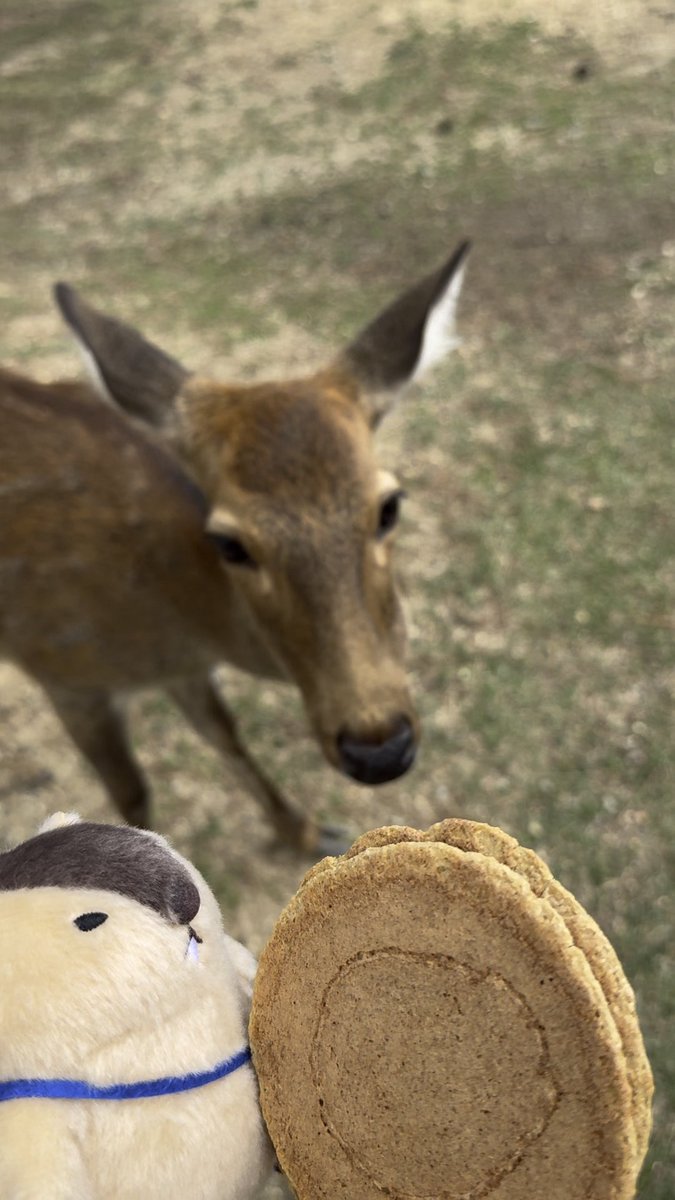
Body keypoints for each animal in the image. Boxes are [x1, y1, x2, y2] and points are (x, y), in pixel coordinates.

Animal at [0, 240, 469, 855]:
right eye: (229, 542)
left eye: (389, 506)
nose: (379, 748)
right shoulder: (63, 671)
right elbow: (131, 795)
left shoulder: (183, 669)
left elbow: (225, 735)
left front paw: (306, 830)